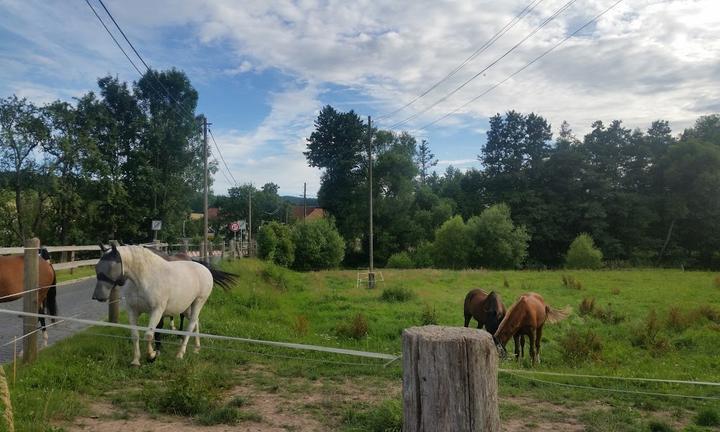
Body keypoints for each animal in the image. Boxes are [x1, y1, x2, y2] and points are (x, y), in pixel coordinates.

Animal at [93, 245, 236, 366]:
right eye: (96, 267)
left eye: (111, 266)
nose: (97, 297)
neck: (143, 279)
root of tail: (204, 269)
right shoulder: (132, 311)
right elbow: (135, 335)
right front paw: (136, 361)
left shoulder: (157, 311)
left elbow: (149, 334)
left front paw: (152, 355)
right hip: (187, 307)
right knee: (196, 321)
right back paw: (196, 348)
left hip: (198, 302)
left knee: (190, 325)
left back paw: (180, 354)